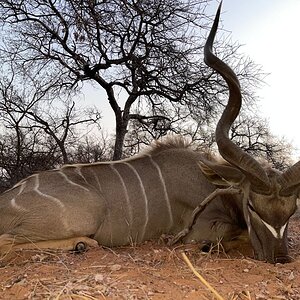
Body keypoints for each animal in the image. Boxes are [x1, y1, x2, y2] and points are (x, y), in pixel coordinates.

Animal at [0, 4, 298, 262]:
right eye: (252, 206)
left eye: (292, 210)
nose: (281, 258)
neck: (214, 184)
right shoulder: (202, 228)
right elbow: (234, 237)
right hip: (86, 214)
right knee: (7, 242)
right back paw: (82, 243)